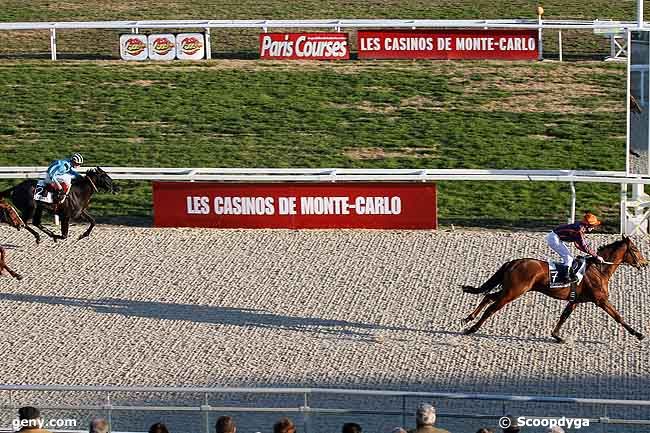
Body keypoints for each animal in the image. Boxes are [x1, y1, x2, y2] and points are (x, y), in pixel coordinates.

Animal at [458, 235, 644, 342]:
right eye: (635, 249)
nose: (644, 262)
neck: (599, 270)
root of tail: (514, 262)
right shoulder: (600, 300)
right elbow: (618, 316)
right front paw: (638, 334)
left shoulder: (575, 300)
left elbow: (564, 316)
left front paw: (556, 336)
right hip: (514, 292)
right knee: (491, 308)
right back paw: (472, 328)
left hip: (510, 290)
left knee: (488, 296)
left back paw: (468, 318)